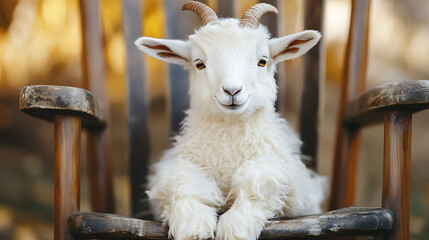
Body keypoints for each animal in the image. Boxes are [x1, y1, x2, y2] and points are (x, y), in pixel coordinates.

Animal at [135, 1, 326, 240]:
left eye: (262, 61)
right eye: (199, 64)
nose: (232, 91)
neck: (229, 148)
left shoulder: (291, 181)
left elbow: (259, 179)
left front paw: (235, 228)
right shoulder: (176, 165)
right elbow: (181, 182)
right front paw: (193, 226)